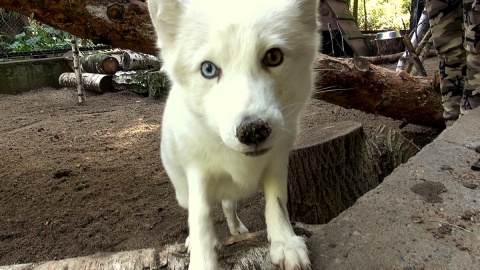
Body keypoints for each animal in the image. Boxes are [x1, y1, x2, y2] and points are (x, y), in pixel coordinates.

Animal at [148, 0, 320, 268]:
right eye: (208, 69)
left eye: (273, 56)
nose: (253, 130)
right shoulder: (198, 172)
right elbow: (200, 217)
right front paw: (202, 259)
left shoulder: (278, 160)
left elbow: (277, 202)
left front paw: (285, 242)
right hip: (182, 193)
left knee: (229, 204)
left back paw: (237, 228)